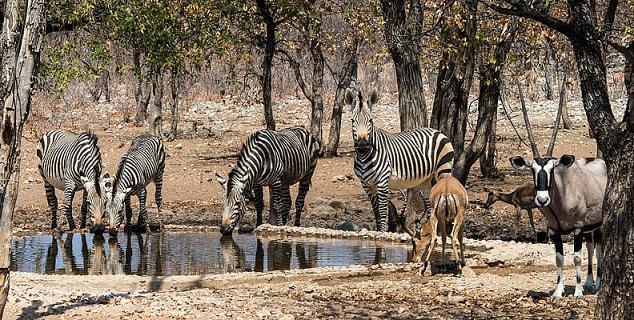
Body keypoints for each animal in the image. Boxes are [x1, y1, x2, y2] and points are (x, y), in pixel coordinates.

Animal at [344, 89, 452, 231]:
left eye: (371, 120)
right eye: (352, 120)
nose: (362, 145)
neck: (364, 157)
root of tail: (437, 131)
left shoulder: (383, 181)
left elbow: (383, 212)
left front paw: (382, 233)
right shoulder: (366, 185)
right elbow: (376, 212)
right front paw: (378, 231)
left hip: (444, 170)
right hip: (426, 180)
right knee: (430, 205)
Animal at [508, 79, 604, 300]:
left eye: (552, 168)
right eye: (532, 169)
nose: (542, 200)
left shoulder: (577, 228)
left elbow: (576, 258)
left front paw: (577, 292)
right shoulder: (555, 231)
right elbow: (559, 258)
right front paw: (558, 292)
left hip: (599, 224)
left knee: (598, 248)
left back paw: (597, 284)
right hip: (589, 227)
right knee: (591, 246)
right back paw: (589, 282)